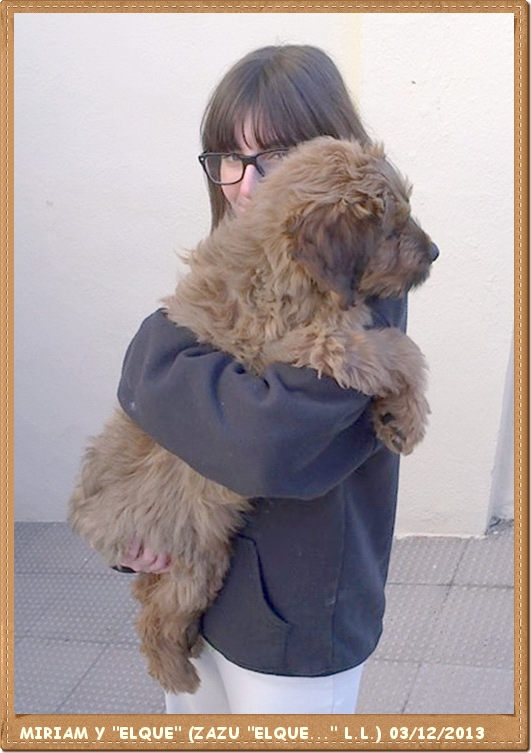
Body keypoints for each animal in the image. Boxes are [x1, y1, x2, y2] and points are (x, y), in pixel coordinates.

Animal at [68, 137, 438, 692]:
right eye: (391, 228)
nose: (435, 252)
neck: (281, 262)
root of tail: (86, 512)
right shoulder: (293, 343)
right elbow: (393, 346)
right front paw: (408, 418)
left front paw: (396, 417)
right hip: (188, 549)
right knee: (152, 620)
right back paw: (178, 673)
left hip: (200, 557)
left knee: (152, 602)